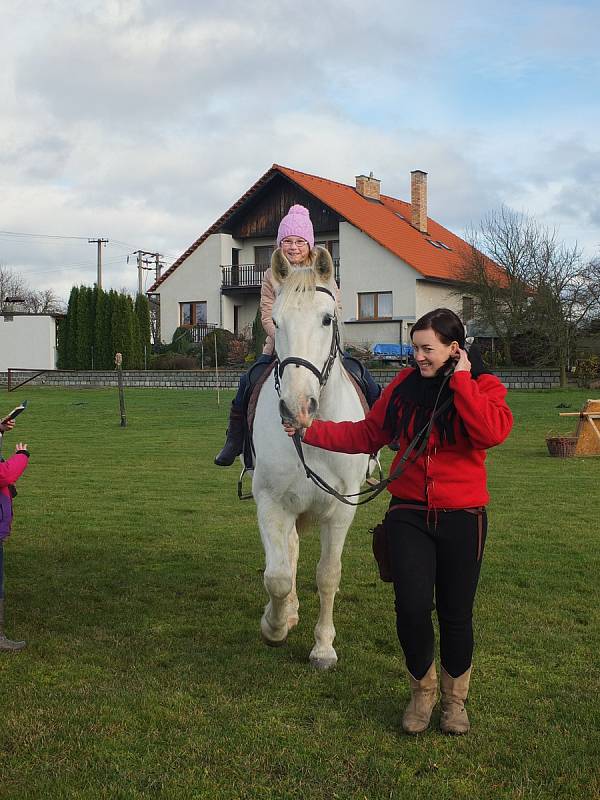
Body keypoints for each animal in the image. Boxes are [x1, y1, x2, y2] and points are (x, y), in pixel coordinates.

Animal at [251, 247, 368, 672]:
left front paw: (323, 648)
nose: (296, 408)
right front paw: (274, 626)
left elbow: (328, 575)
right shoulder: (271, 502)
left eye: (327, 318)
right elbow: (278, 575)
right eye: (275, 322)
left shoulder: (342, 509)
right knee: (289, 554)